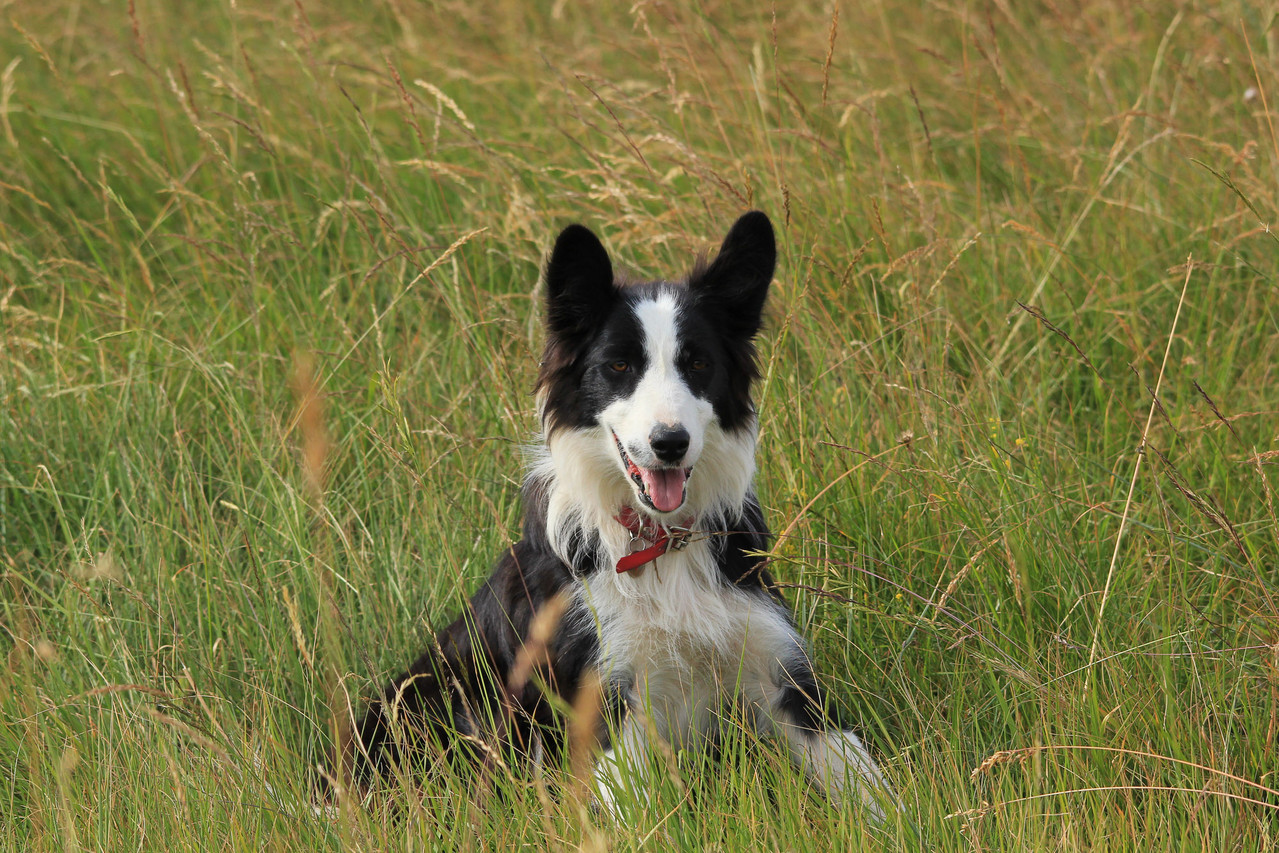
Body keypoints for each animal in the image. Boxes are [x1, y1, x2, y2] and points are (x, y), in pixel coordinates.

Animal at [345, 209, 895, 818]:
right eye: (619, 365)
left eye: (698, 363)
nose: (669, 443)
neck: (663, 543)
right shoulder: (609, 699)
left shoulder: (784, 677)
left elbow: (872, 786)